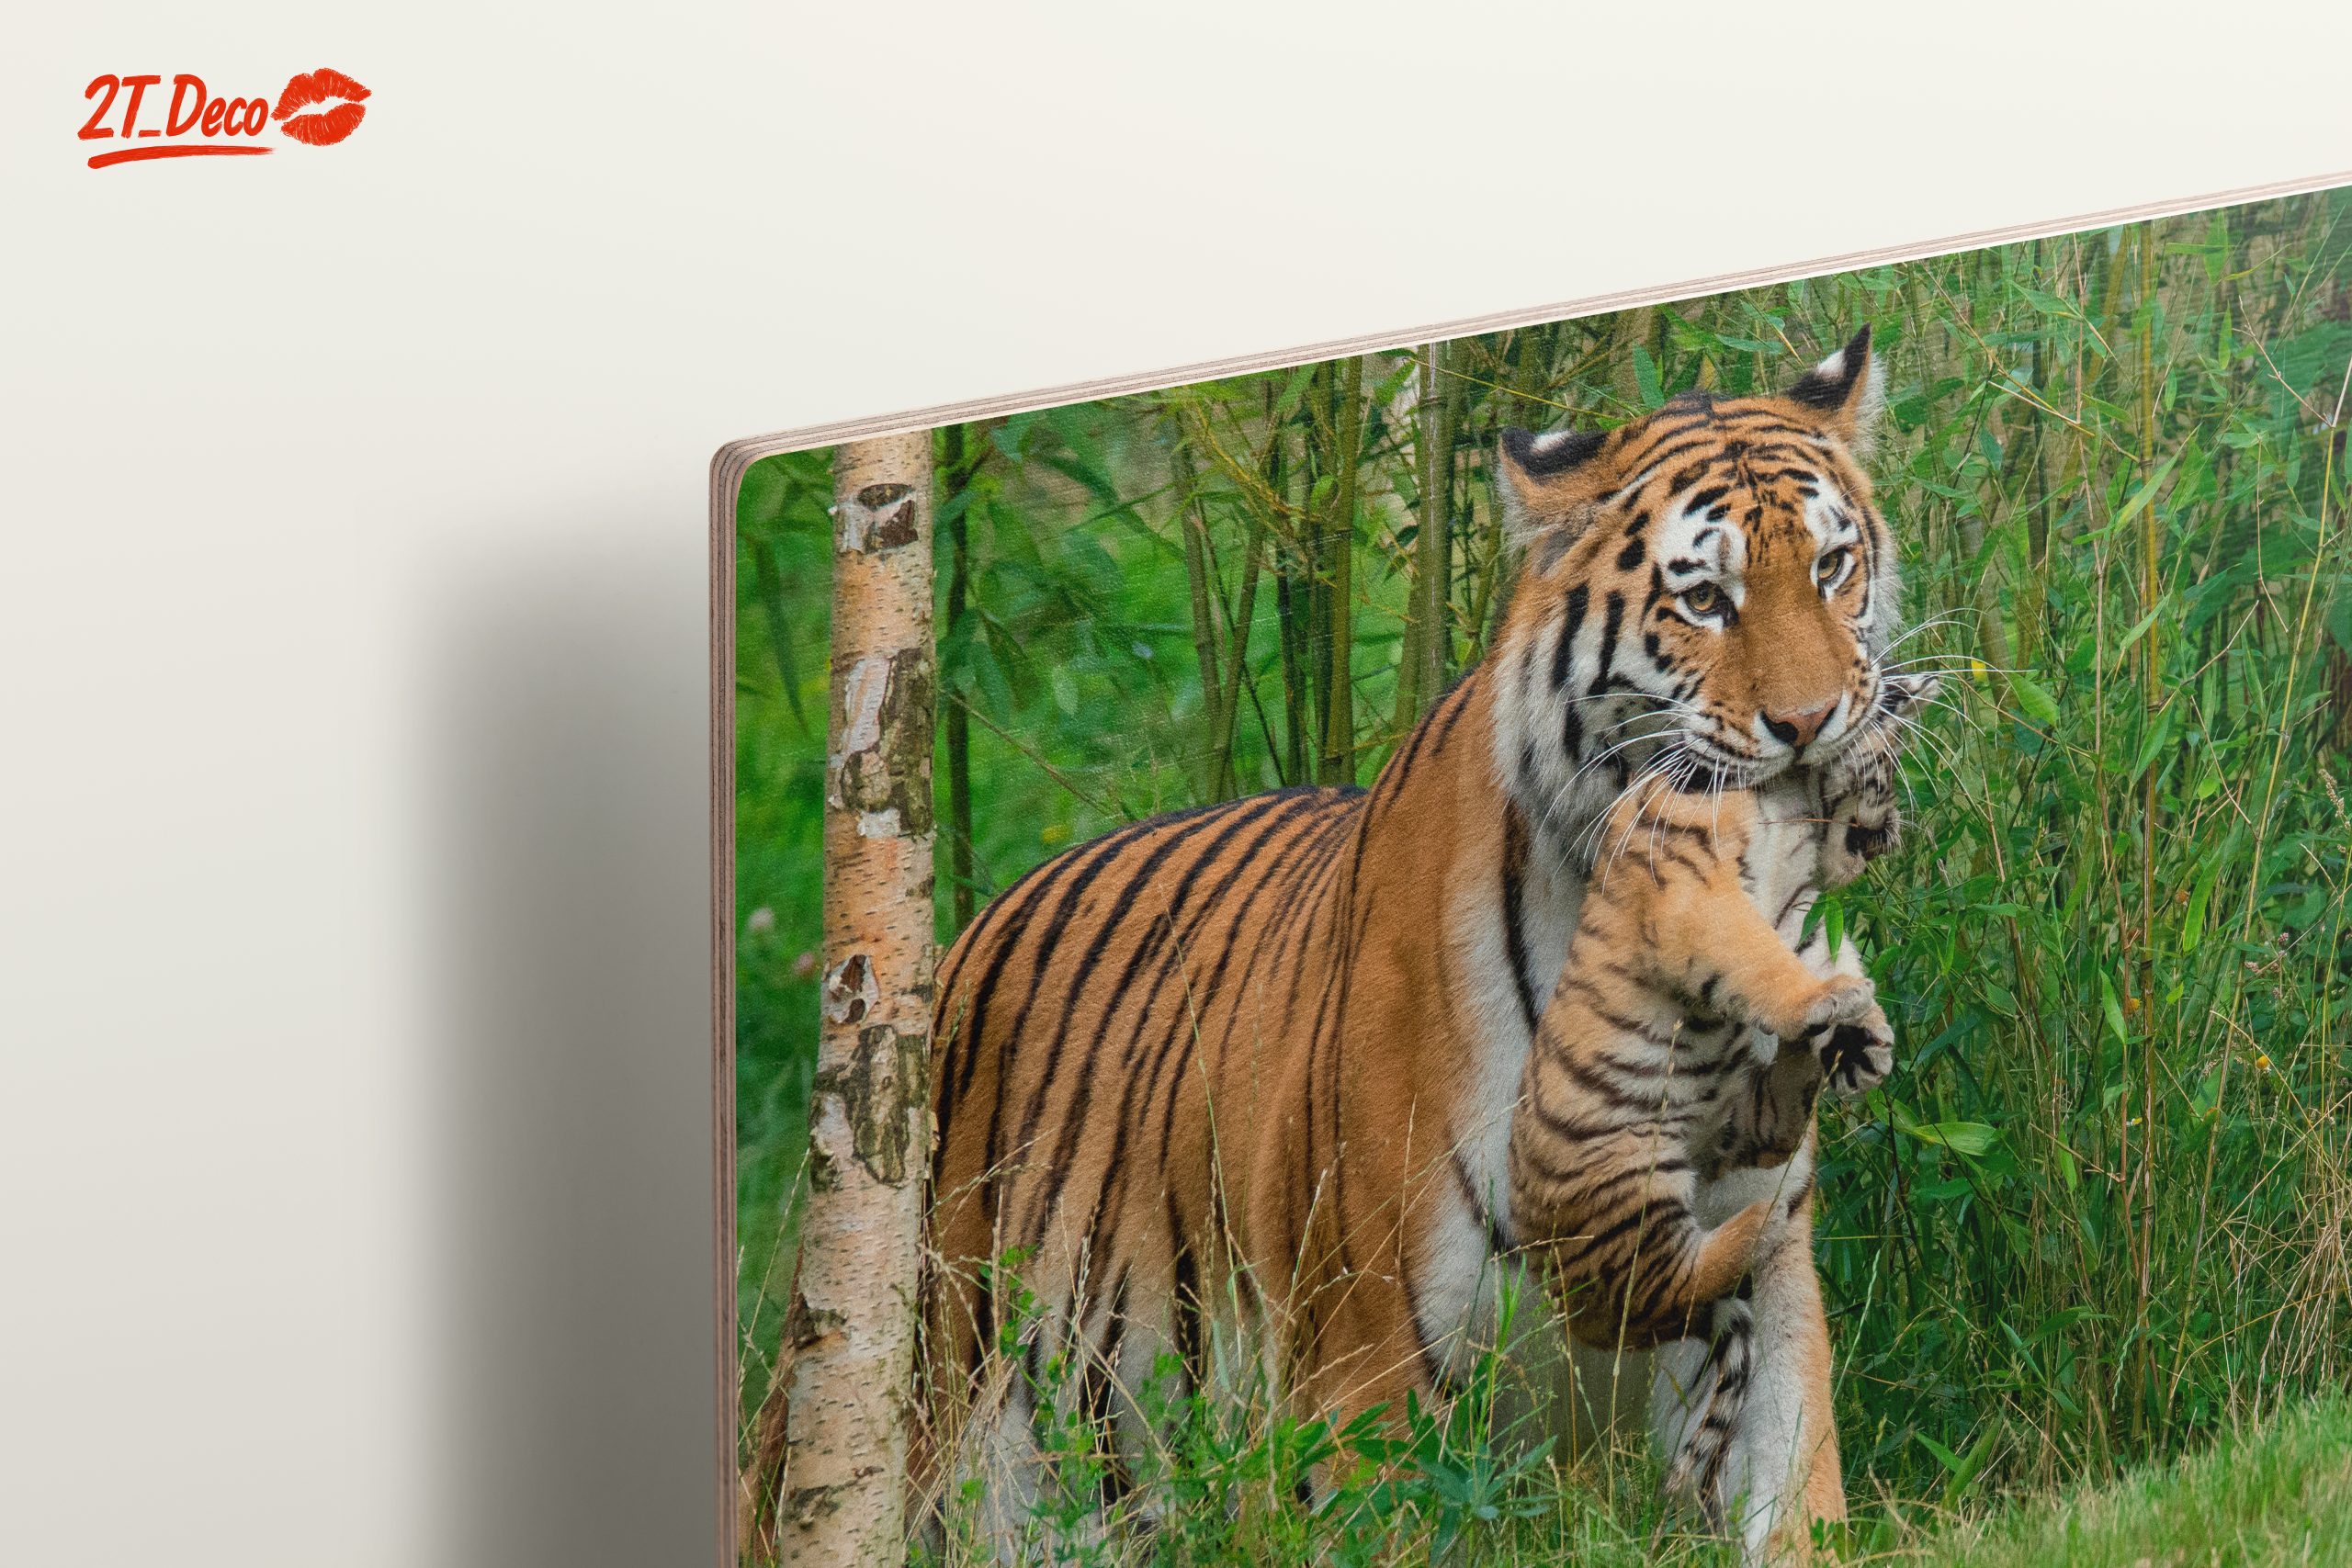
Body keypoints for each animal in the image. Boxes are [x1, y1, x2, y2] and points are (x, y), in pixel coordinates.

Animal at [921, 327, 1903, 1562]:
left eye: (1831, 567)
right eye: (1704, 598)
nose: (1813, 724)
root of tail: (962, 941)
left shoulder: (1765, 1294)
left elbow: (1794, 1487)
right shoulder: (1368, 1358)